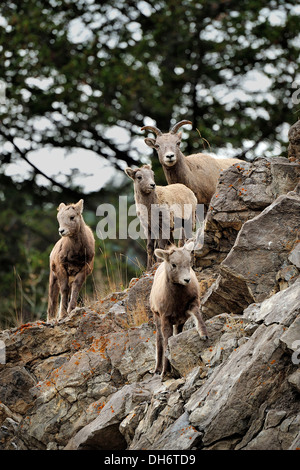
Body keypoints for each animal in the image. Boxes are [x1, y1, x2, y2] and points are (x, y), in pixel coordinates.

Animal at [150, 241, 209, 380]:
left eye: (189, 262)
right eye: (174, 264)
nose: (187, 280)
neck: (177, 300)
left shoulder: (191, 305)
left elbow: (198, 316)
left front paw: (203, 335)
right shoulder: (165, 318)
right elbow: (166, 341)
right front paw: (165, 372)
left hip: (179, 322)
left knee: (177, 332)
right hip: (157, 317)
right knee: (159, 340)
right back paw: (158, 370)